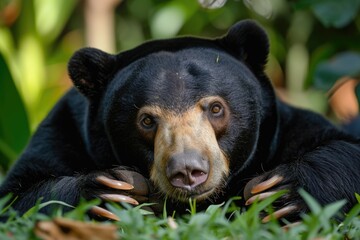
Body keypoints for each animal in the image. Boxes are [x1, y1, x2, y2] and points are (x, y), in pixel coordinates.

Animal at [0, 19, 360, 222]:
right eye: (147, 120)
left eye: (215, 109)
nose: (188, 171)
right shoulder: (65, 129)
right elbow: (20, 193)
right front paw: (109, 192)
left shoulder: (284, 129)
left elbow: (343, 149)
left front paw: (279, 192)